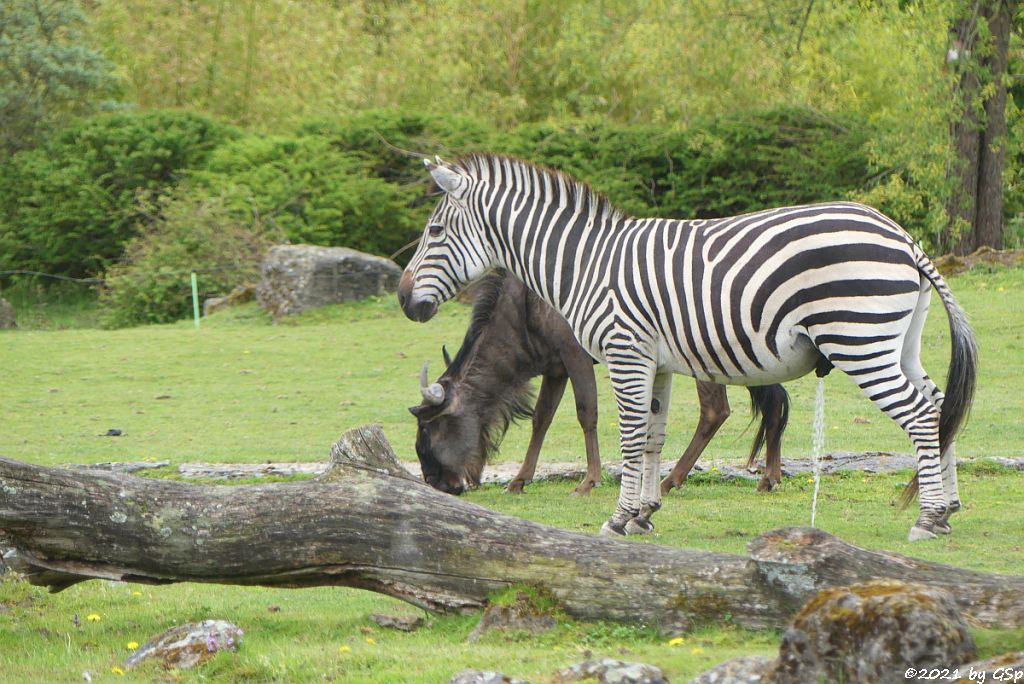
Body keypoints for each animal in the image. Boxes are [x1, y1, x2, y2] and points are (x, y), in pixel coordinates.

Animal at [397, 153, 974, 540]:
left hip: (858, 339)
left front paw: (616, 517)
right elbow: (653, 436)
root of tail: (903, 236)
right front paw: (644, 513)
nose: (402, 299)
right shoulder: (657, 363)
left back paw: (927, 518)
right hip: (899, 342)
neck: (582, 264)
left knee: (920, 413)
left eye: (436, 231)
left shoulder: (623, 353)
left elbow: (627, 436)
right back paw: (947, 508)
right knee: (940, 405)